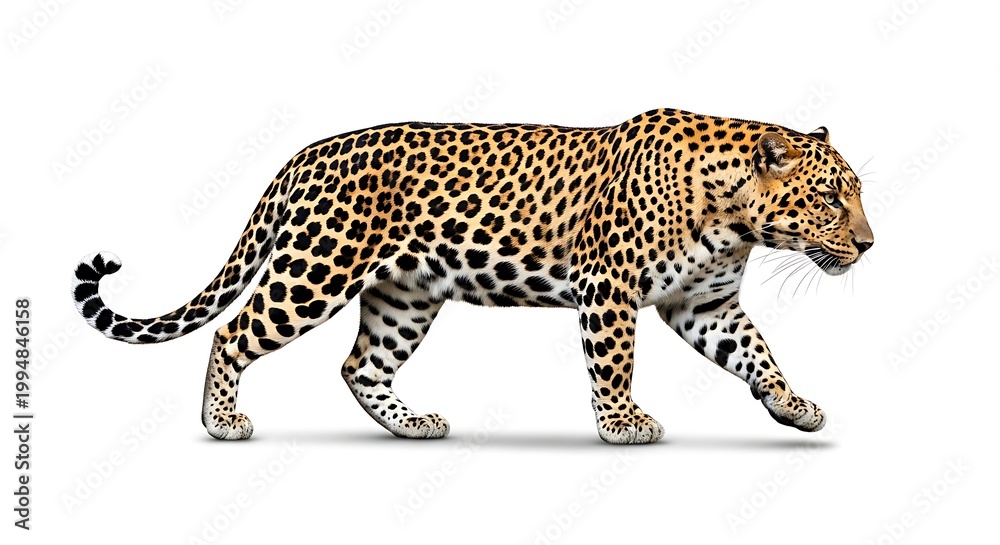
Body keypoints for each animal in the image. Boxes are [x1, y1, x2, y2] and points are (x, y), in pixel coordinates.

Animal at [72, 108, 874, 444]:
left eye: (854, 191)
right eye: (832, 196)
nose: (869, 244)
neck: (737, 219)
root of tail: (304, 155)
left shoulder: (704, 304)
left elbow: (759, 355)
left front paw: (796, 408)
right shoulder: (609, 288)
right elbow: (615, 363)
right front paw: (623, 425)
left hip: (404, 294)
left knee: (362, 365)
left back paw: (413, 425)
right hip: (316, 270)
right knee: (234, 331)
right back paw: (222, 422)